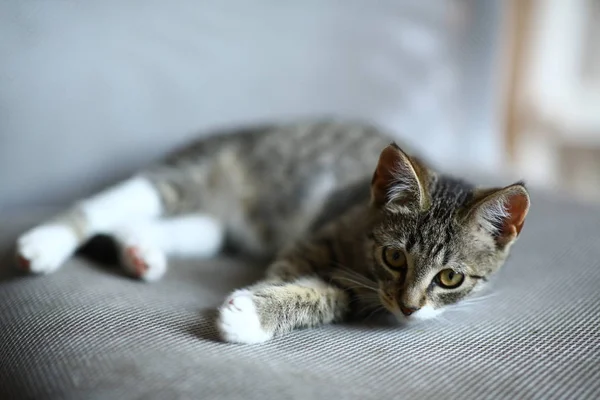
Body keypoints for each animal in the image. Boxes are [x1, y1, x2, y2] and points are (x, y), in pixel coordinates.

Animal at [14, 119, 528, 344]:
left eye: (450, 278)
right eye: (395, 257)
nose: (409, 307)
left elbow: (331, 296)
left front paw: (256, 310)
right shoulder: (320, 233)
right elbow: (304, 280)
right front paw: (256, 305)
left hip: (215, 225)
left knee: (159, 225)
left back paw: (140, 251)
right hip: (190, 174)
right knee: (105, 204)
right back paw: (43, 244)